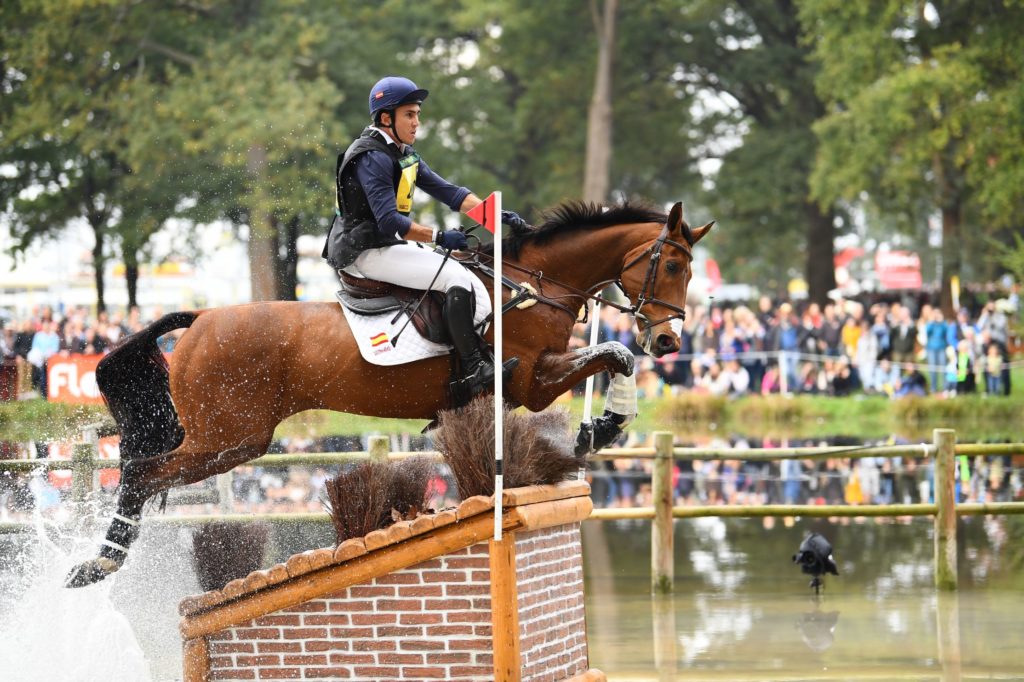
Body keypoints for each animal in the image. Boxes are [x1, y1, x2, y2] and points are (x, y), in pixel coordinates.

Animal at [66, 197, 712, 585]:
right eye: (672, 267)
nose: (669, 342)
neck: (533, 287)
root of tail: (200, 318)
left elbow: (615, 356)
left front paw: (599, 426)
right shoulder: (531, 381)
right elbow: (614, 353)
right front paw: (598, 429)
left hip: (223, 438)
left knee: (142, 468)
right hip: (230, 440)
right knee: (141, 472)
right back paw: (98, 562)